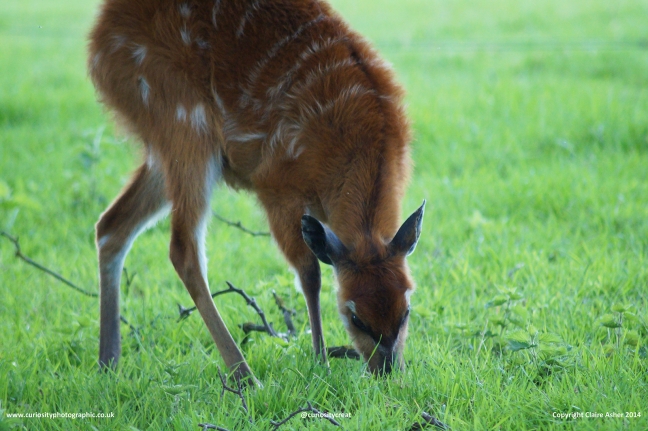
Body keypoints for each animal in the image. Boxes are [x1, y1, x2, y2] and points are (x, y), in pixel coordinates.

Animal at [88, 0, 425, 385]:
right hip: (184, 123)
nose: (388, 371)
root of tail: (97, 42)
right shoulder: (275, 186)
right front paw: (320, 362)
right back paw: (245, 376)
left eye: (406, 310)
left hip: (165, 150)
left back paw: (108, 362)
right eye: (355, 316)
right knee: (182, 248)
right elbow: (310, 273)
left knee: (111, 225)